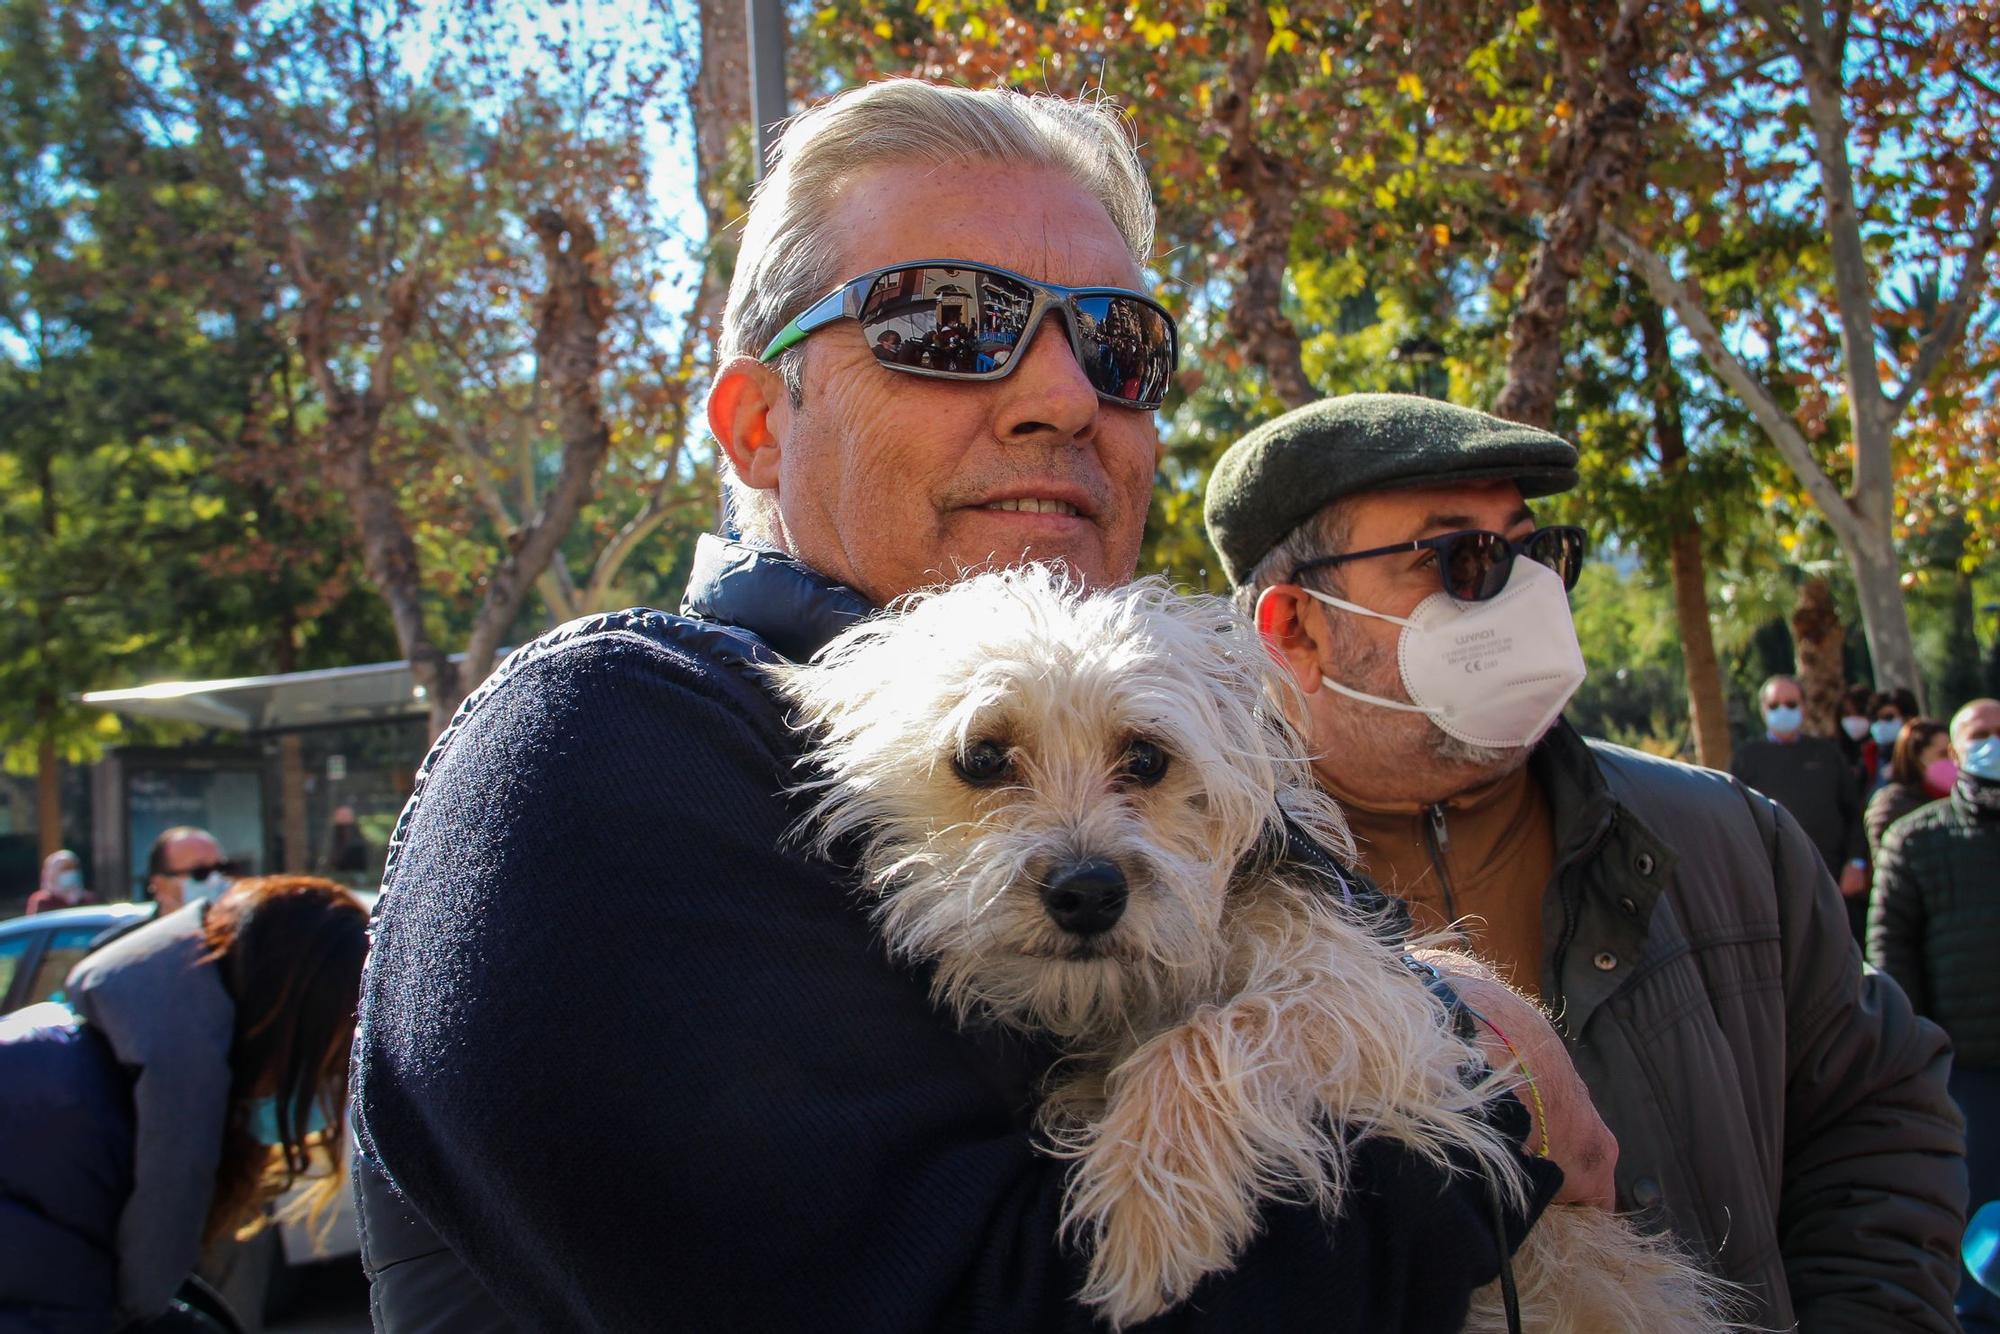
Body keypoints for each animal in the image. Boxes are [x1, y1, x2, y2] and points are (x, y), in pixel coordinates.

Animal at [764, 568, 1736, 1334]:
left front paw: (1146, 1209)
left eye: (1147, 759)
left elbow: (1208, 1036)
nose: (1088, 892)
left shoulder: (1383, 1012)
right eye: (982, 757)